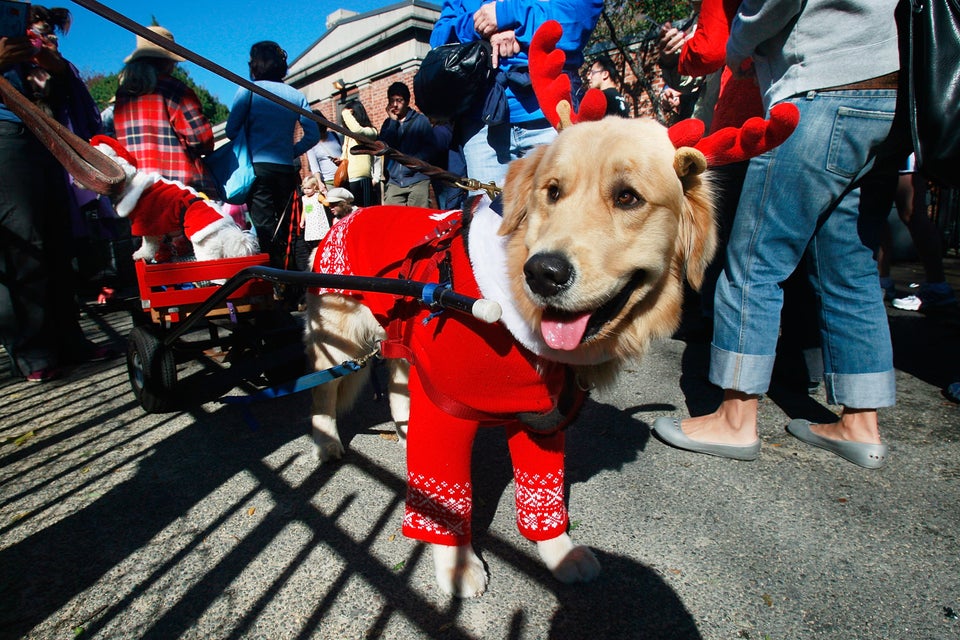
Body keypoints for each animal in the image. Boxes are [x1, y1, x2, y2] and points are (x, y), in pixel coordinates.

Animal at [304, 114, 716, 596]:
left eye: (627, 197)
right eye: (552, 191)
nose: (544, 273)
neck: (511, 314)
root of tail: (349, 213)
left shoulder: (541, 418)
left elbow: (542, 488)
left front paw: (560, 551)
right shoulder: (447, 413)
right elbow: (445, 500)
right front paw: (457, 565)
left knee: (398, 386)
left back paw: (406, 433)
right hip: (339, 341)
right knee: (322, 396)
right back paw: (328, 442)